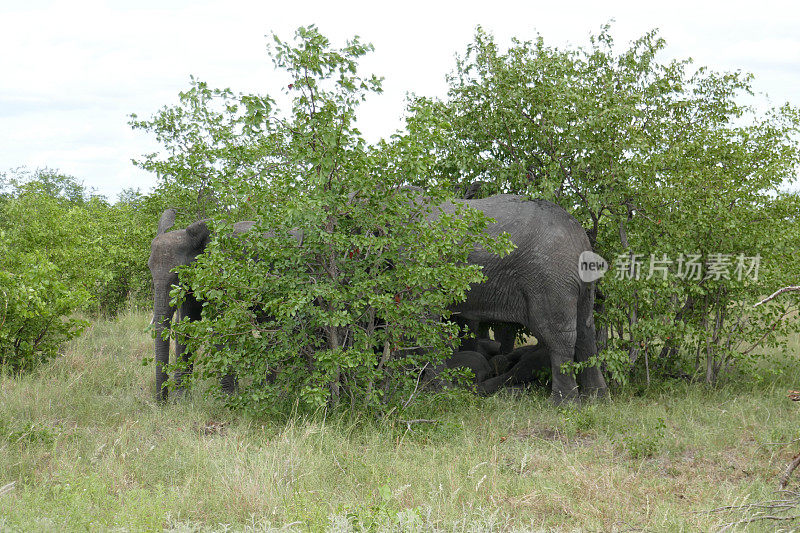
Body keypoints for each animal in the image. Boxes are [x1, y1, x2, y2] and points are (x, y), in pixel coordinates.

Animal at [432, 193, 608, 402]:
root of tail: (580, 235)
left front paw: (436, 392)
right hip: (578, 280)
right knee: (585, 331)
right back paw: (597, 398)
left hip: (549, 277)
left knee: (557, 334)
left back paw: (564, 404)